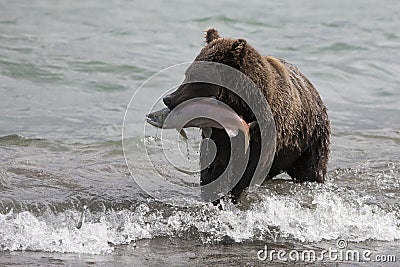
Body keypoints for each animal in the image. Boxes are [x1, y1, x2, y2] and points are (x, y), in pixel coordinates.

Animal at [162, 28, 332, 203]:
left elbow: (248, 169)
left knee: (311, 170)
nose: (168, 99)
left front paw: (231, 195)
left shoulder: (262, 135)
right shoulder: (219, 134)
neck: (238, 108)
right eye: (187, 73)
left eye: (195, 77)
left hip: (311, 138)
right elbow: (213, 164)